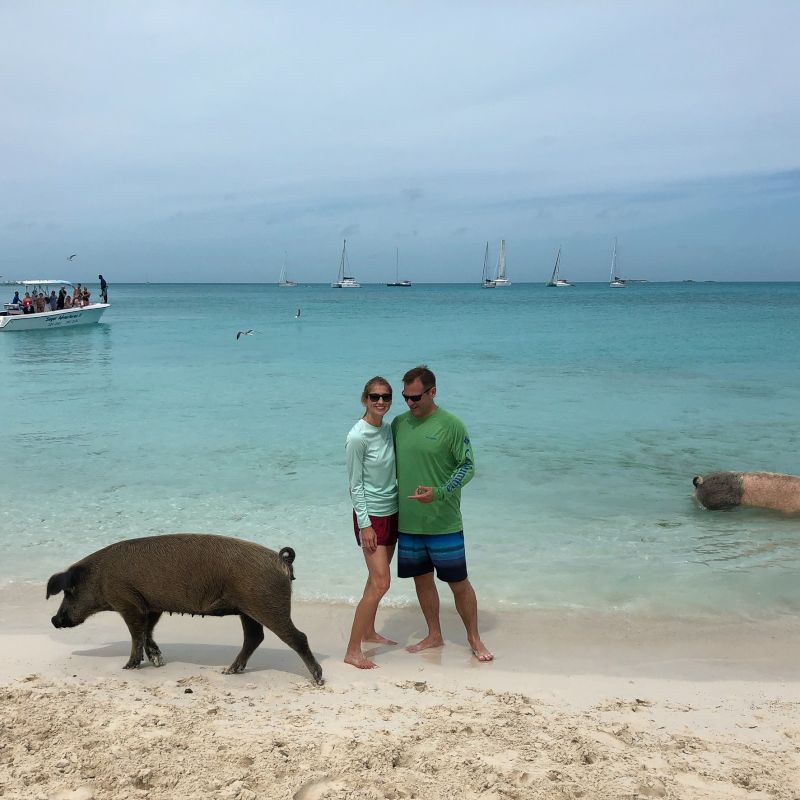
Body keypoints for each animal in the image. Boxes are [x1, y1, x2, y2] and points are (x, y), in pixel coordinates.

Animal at [45, 536, 322, 684]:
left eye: (69, 591)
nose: (54, 619)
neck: (99, 578)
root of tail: (282, 559)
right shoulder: (151, 606)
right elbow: (147, 632)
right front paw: (157, 661)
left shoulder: (128, 602)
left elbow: (136, 633)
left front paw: (128, 667)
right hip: (248, 610)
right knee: (254, 637)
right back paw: (229, 671)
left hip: (266, 605)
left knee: (298, 637)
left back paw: (317, 679)